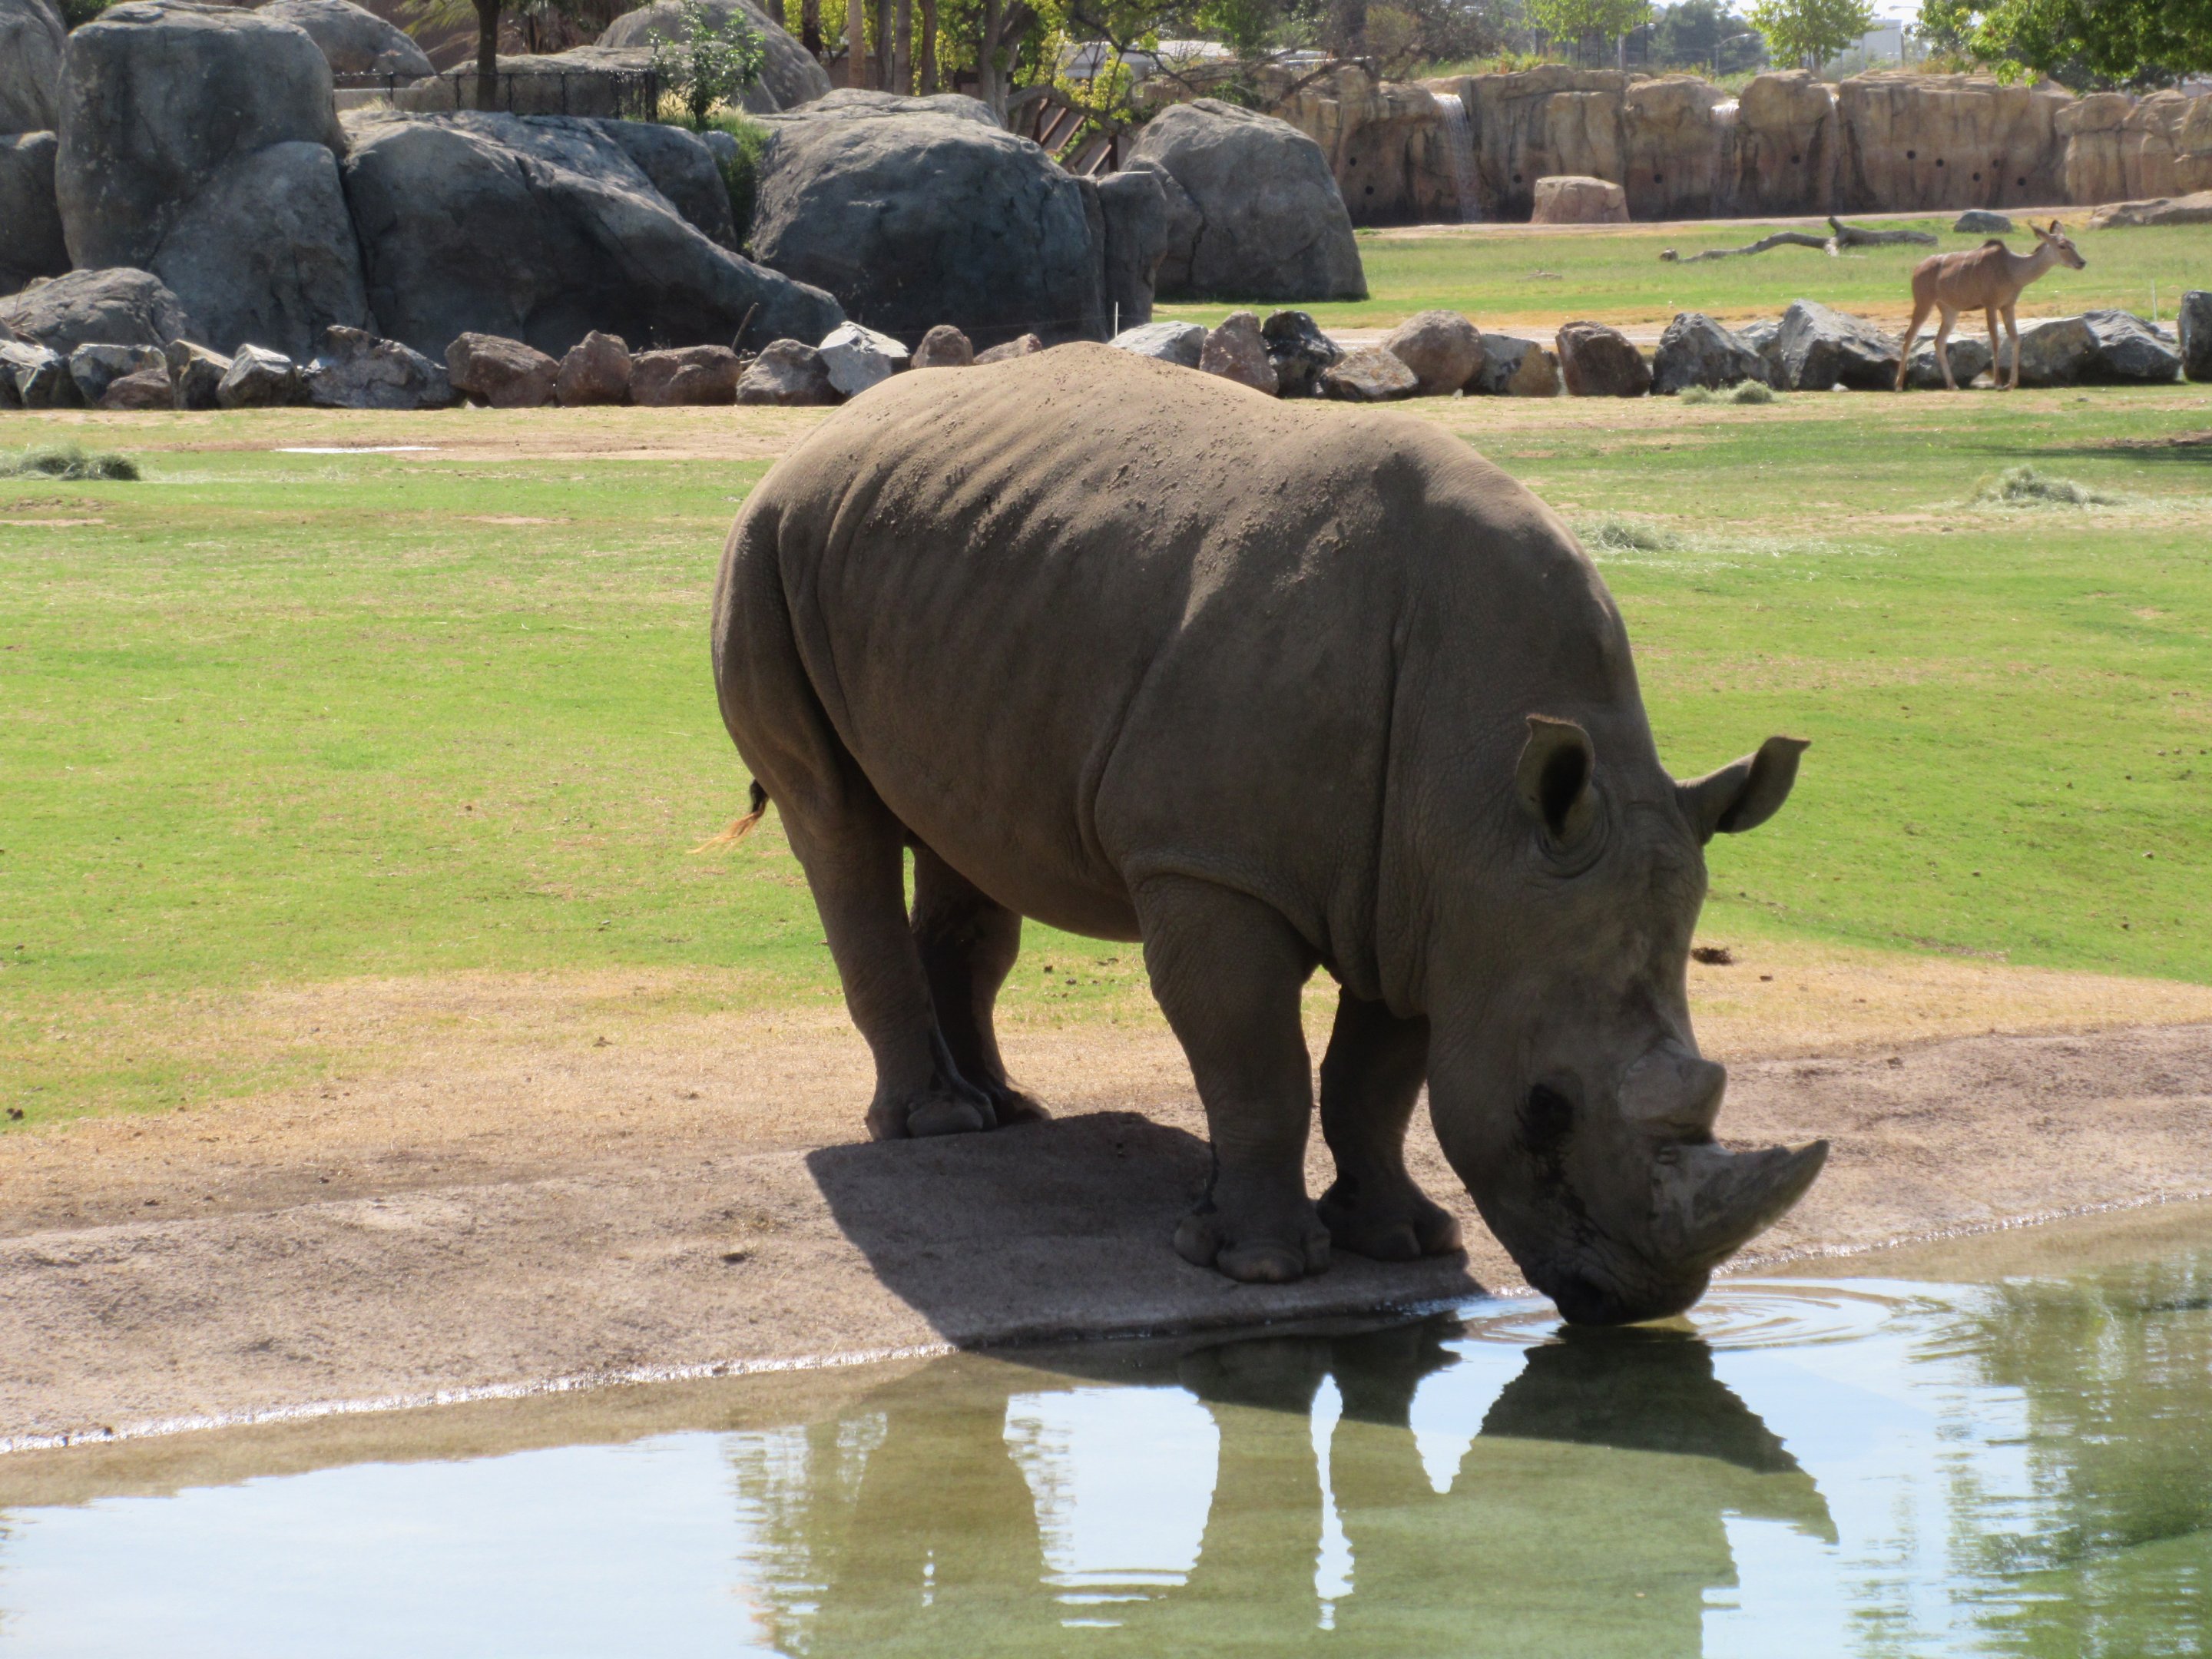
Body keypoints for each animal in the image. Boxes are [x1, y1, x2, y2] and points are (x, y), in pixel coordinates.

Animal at [711, 343, 1826, 1324]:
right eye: (1545, 1110)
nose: (1643, 1302)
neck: (1487, 798)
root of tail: (817, 440)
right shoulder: (1218, 868)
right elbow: (1258, 1062)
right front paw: (1263, 1268)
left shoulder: (1436, 900)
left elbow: (1378, 1077)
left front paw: (1406, 1242)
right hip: (767, 552)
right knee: (840, 824)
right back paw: (937, 1124)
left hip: (954, 585)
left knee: (966, 833)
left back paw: (1004, 1109)